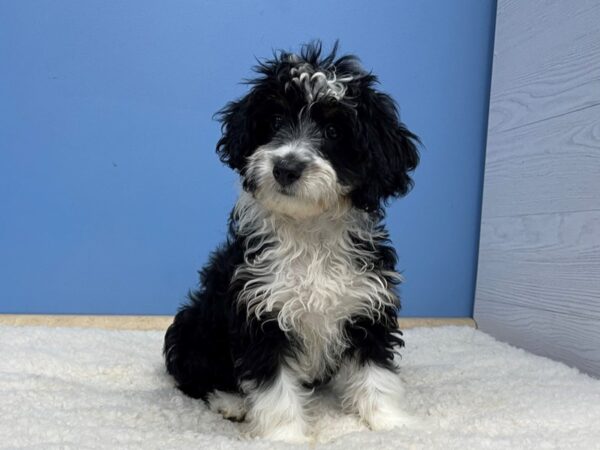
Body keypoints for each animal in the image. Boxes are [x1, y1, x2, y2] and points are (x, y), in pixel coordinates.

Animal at [162, 42, 420, 442]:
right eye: (275, 121)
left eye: (333, 130)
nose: (286, 167)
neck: (309, 230)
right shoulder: (260, 312)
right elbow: (275, 388)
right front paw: (285, 436)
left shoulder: (368, 305)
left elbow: (376, 372)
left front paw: (391, 424)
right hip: (194, 327)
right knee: (195, 377)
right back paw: (230, 401)